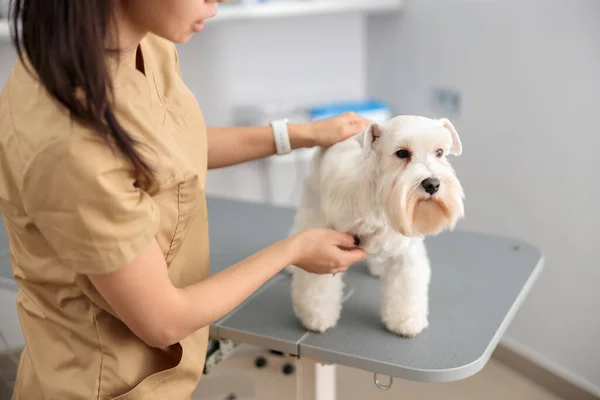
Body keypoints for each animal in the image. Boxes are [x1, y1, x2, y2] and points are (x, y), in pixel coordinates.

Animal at [286, 115, 464, 338]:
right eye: (402, 153)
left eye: (439, 152)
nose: (432, 184)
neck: (381, 200)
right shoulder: (325, 246)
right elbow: (317, 285)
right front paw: (316, 317)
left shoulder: (406, 252)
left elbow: (406, 288)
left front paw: (406, 321)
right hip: (312, 203)